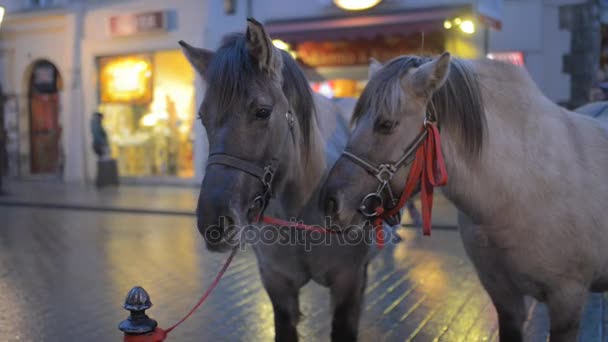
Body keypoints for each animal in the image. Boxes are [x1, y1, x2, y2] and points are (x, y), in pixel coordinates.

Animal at [179, 19, 384, 342]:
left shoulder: (348, 284)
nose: (214, 222)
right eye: (202, 118)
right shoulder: (277, 284)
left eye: (262, 112)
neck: (301, 213)